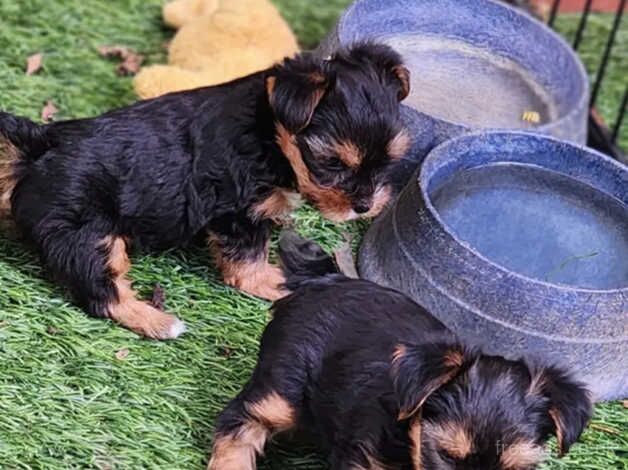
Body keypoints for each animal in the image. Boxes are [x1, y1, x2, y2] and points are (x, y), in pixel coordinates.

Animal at [0, 42, 412, 340]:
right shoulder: (238, 210)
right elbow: (247, 260)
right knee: (100, 288)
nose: (364, 205)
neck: (270, 130)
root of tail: (40, 147)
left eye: (391, 158)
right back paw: (158, 322)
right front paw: (276, 281)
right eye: (332, 163)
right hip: (84, 229)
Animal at [209, 232, 592, 470]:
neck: (408, 437)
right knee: (239, 422)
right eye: (445, 456)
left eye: (516, 468)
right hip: (283, 384)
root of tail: (326, 280)